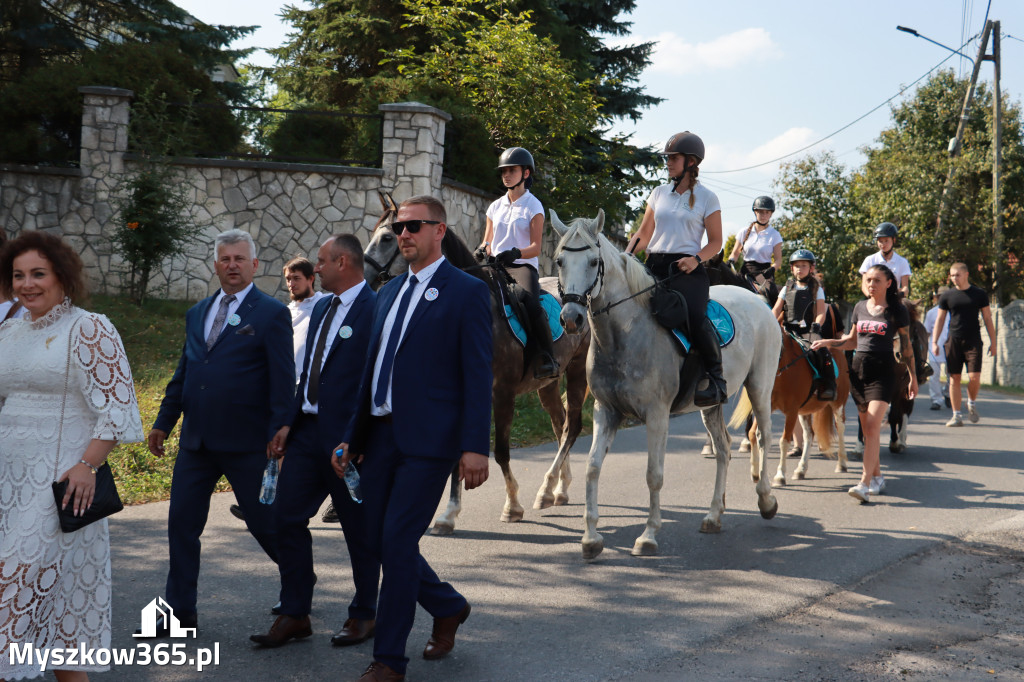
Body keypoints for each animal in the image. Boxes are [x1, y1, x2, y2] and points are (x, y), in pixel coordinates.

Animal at [362, 191, 593, 532]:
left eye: (389, 237)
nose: (364, 278)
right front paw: (448, 514)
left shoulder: (502, 392)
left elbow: (500, 451)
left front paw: (512, 506)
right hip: (548, 383)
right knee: (560, 424)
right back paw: (556, 489)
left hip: (576, 371)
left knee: (572, 426)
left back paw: (547, 488)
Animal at [552, 208, 782, 557]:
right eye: (559, 261)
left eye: (593, 261)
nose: (571, 319)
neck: (622, 336)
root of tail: (759, 302)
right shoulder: (606, 412)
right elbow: (592, 467)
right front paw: (591, 539)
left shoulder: (657, 415)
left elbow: (654, 475)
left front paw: (648, 536)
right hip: (711, 405)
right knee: (724, 449)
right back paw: (713, 516)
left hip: (760, 385)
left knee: (764, 436)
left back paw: (767, 500)